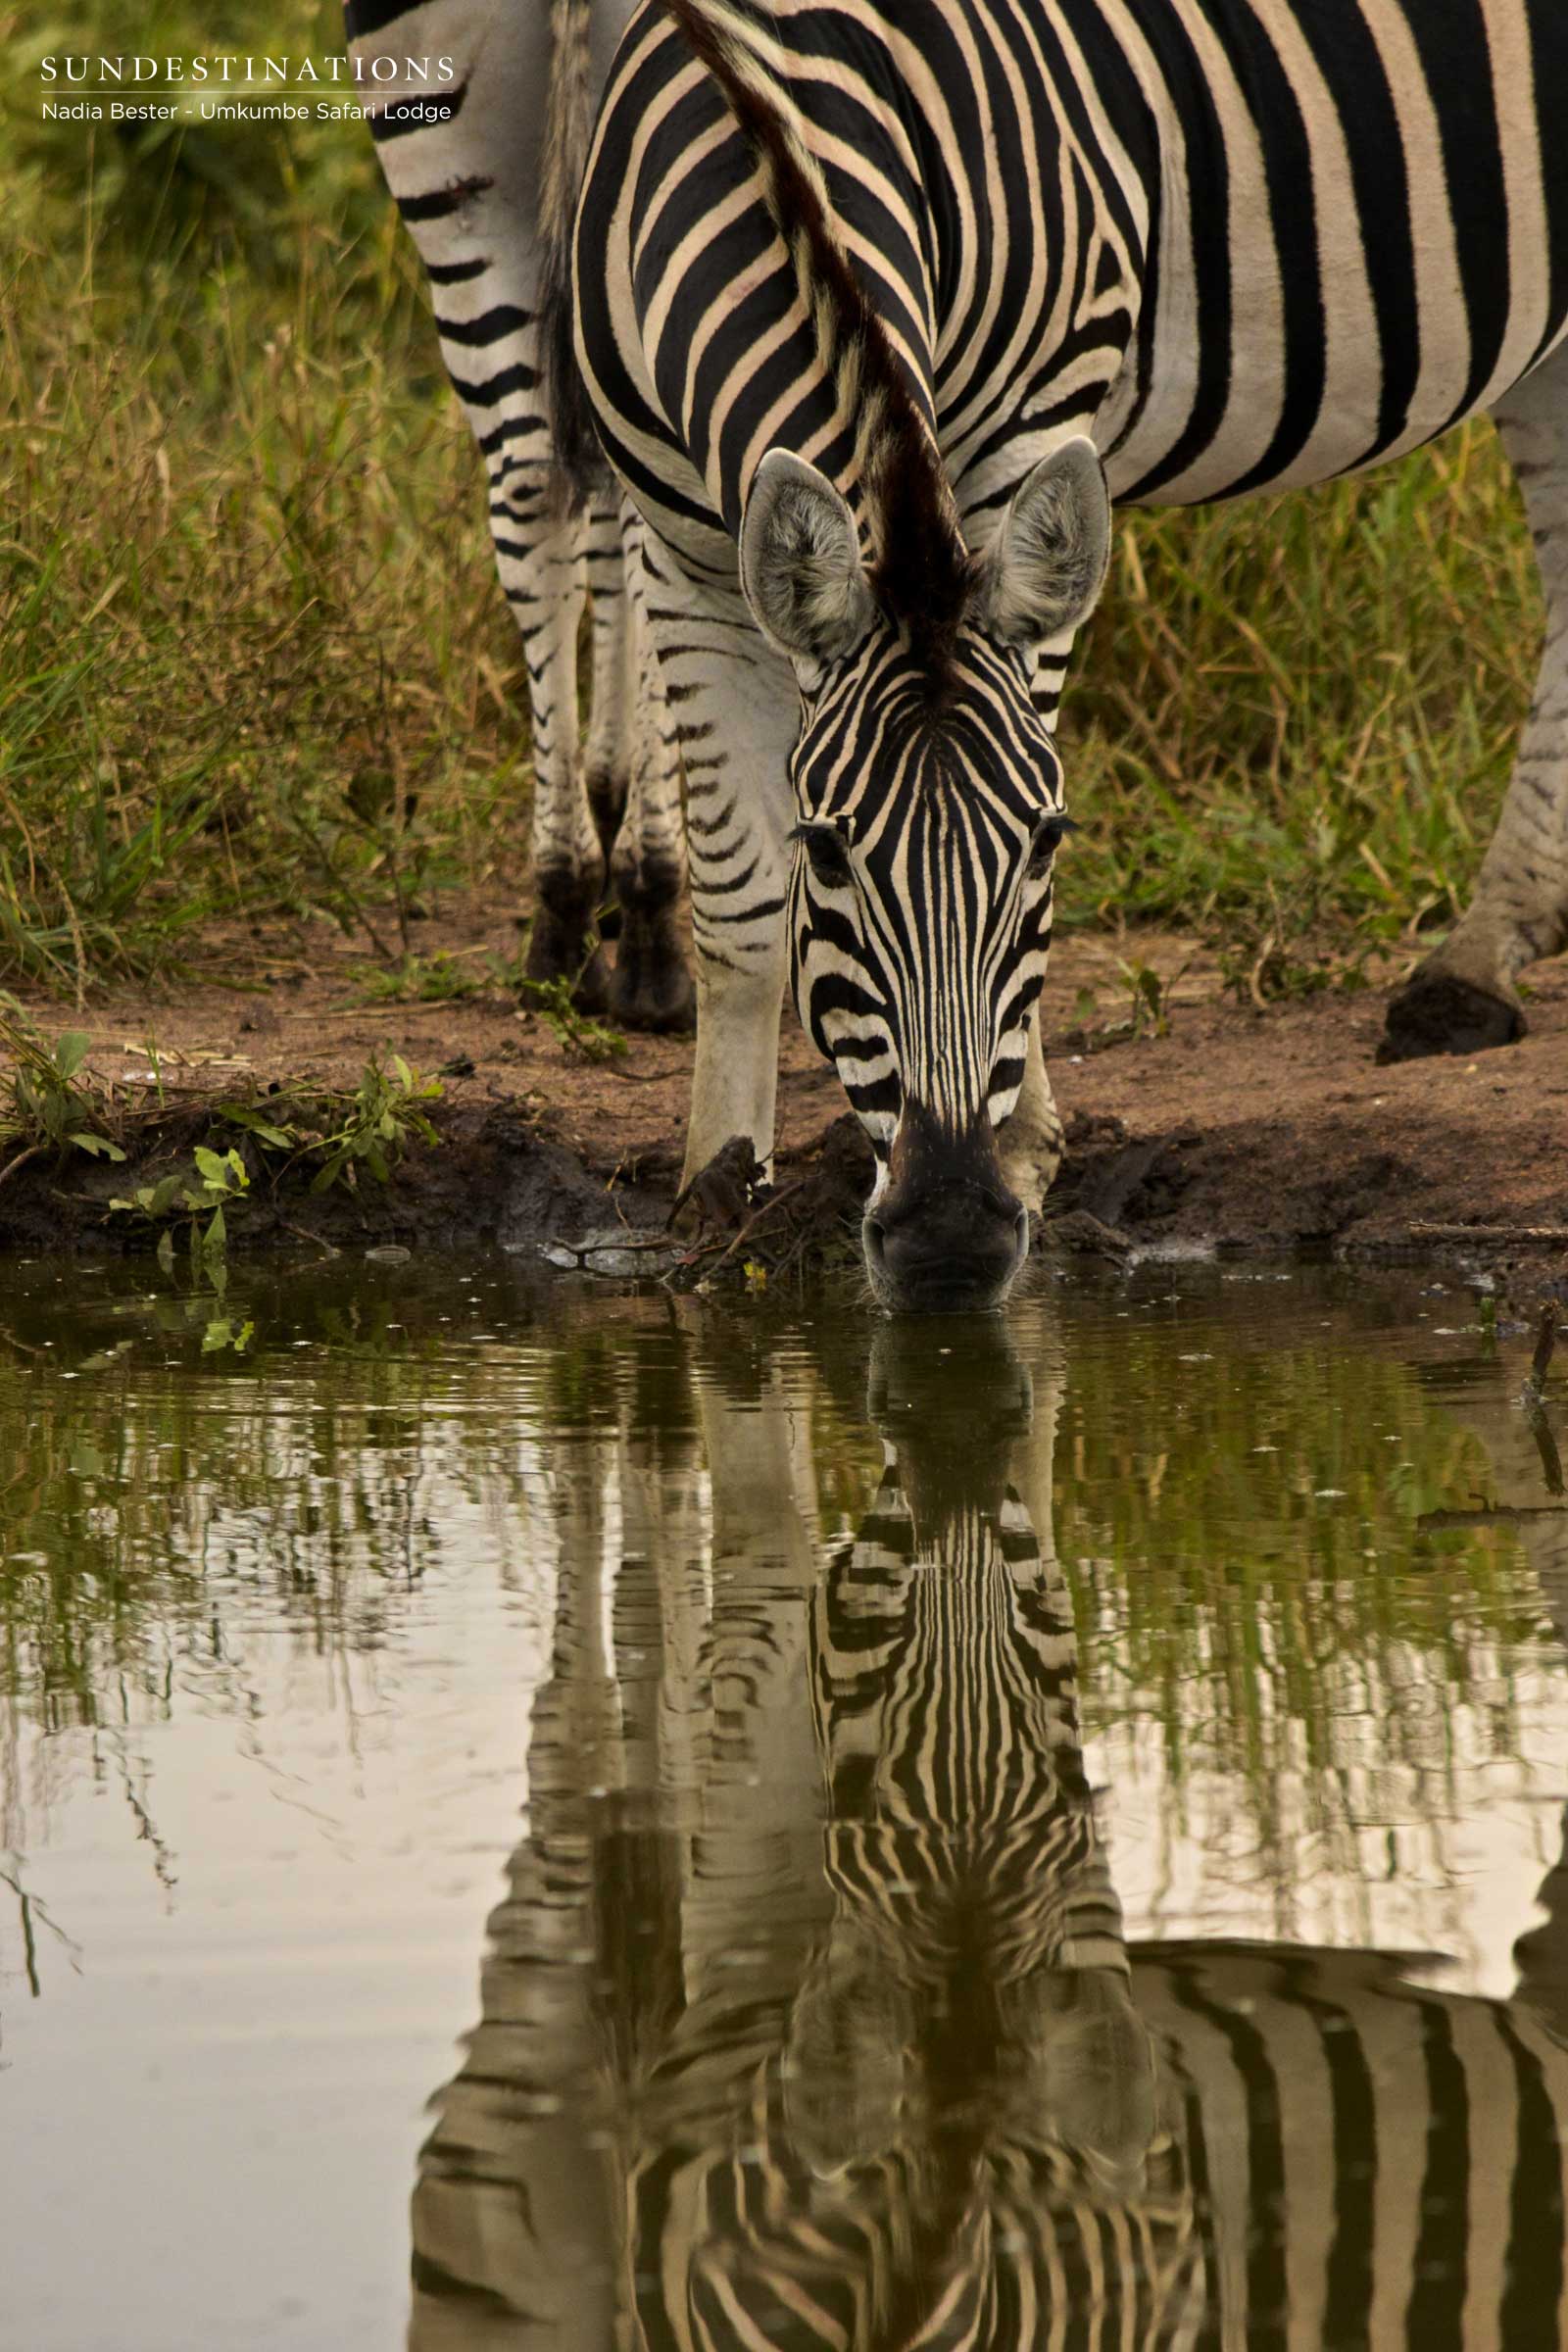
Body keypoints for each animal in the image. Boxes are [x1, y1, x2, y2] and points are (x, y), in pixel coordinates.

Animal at [566, 0, 1568, 1311]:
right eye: (826, 852)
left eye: (1047, 843)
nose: (949, 1233)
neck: (758, 111)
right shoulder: (676, 544)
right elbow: (736, 909)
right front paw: (717, 1192)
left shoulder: (1023, 429)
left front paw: (1030, 1142)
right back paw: (1483, 956)